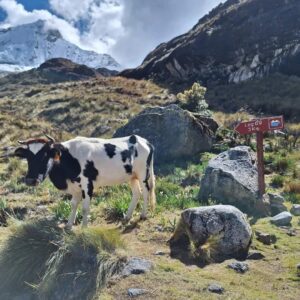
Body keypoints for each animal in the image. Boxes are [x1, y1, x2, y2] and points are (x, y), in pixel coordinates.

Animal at [2, 134, 156, 227]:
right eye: (28, 157)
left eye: (45, 155)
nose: (30, 180)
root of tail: (142, 139)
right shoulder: (74, 186)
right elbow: (74, 204)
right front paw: (69, 225)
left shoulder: (87, 184)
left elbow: (85, 207)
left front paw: (84, 227)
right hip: (132, 176)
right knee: (136, 193)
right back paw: (127, 217)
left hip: (143, 174)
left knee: (146, 192)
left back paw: (143, 215)